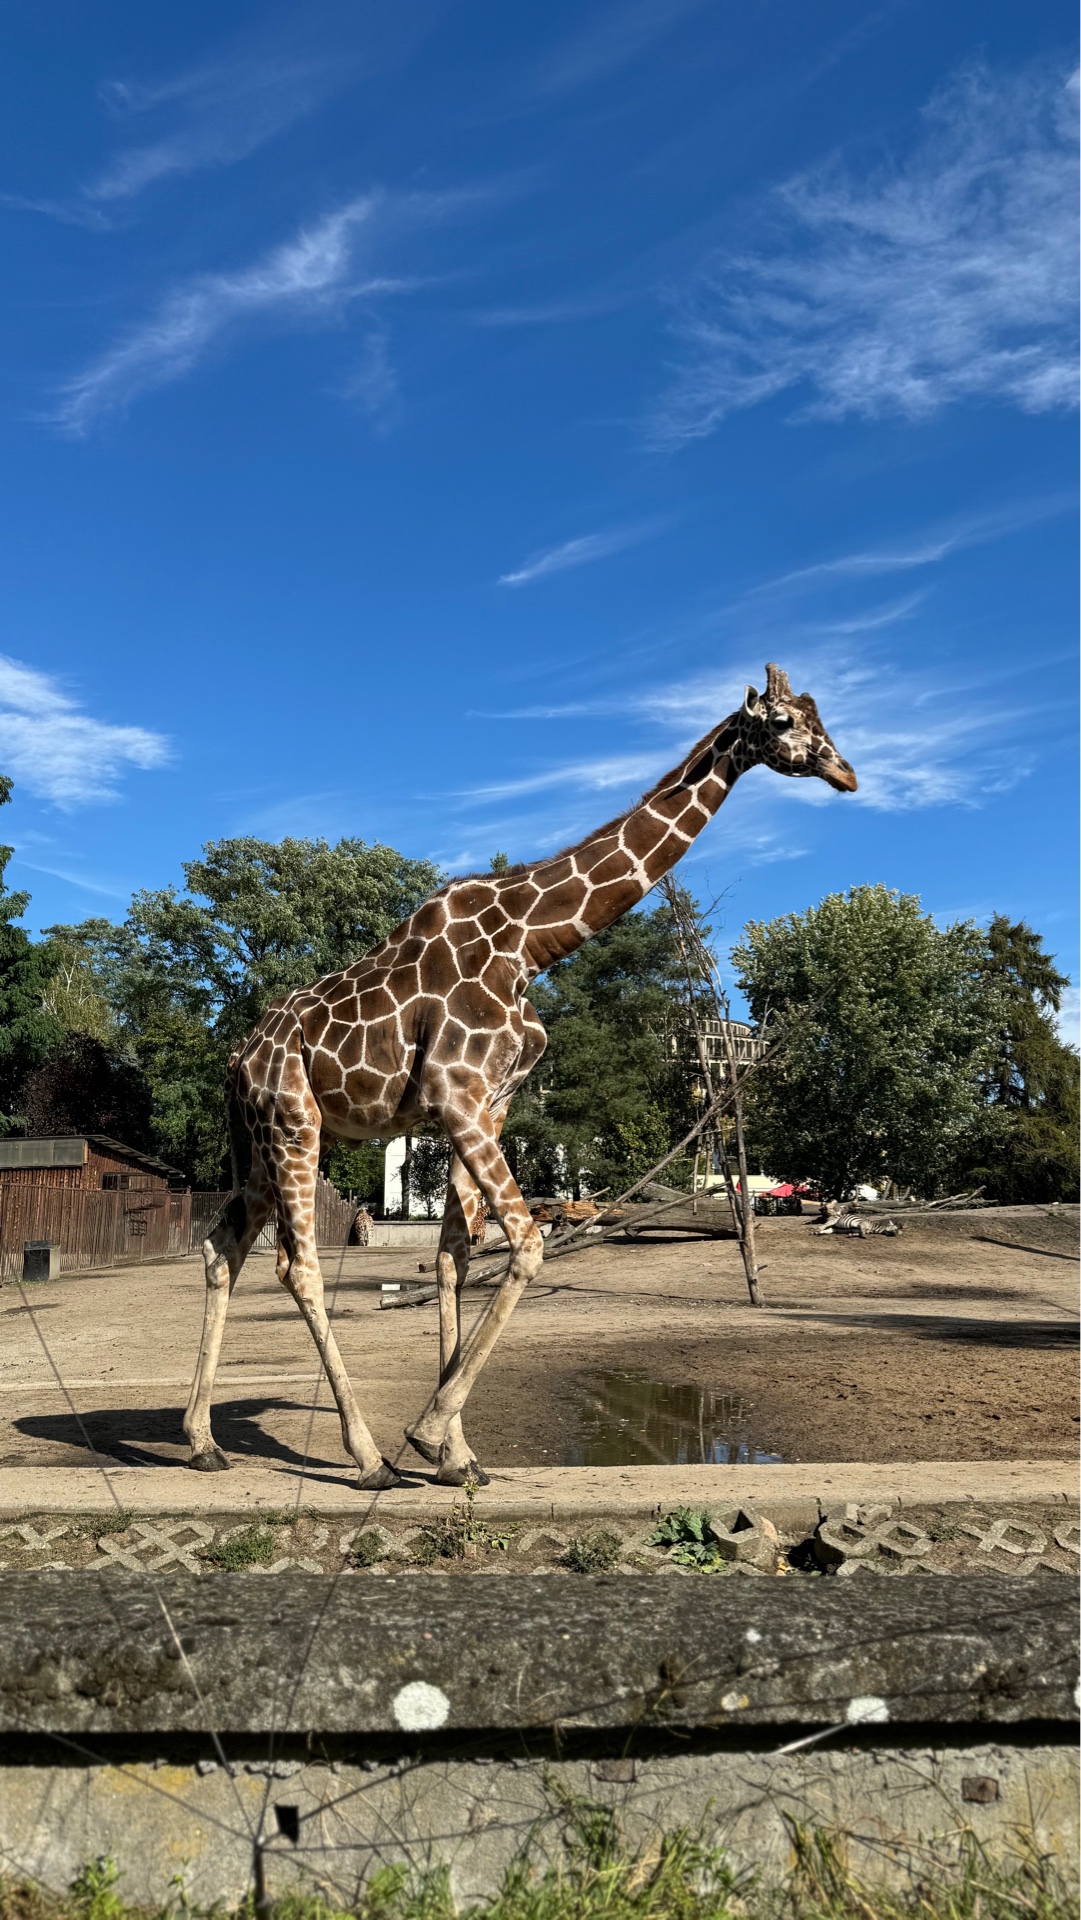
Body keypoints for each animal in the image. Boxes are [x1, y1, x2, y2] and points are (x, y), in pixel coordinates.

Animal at [186, 668, 860, 1489]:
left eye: (822, 714)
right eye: (789, 721)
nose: (847, 774)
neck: (531, 946)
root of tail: (237, 1058)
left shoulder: (491, 1101)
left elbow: (454, 1255)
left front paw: (456, 1456)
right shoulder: (456, 1095)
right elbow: (529, 1245)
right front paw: (426, 1434)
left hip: (258, 1141)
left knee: (223, 1245)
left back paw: (203, 1441)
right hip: (294, 1123)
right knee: (296, 1266)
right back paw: (367, 1457)